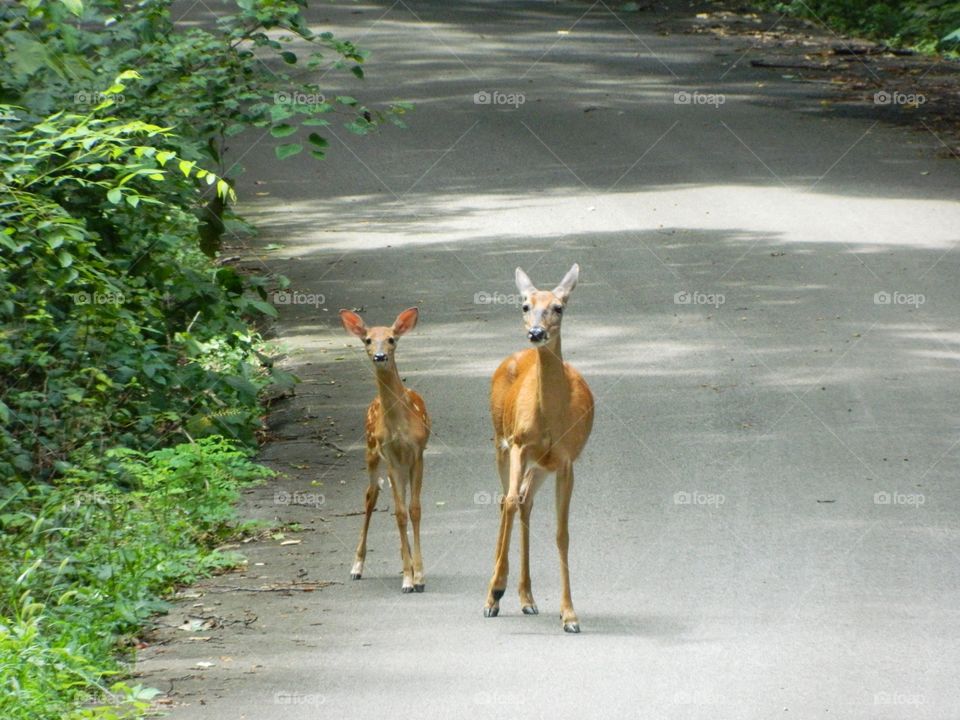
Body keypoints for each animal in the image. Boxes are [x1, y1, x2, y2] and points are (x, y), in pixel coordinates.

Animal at [339, 307, 430, 593]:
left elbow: (414, 509)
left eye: (392, 339)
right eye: (367, 340)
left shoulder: (417, 453)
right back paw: (357, 567)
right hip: (371, 451)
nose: (380, 356)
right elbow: (400, 513)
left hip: (401, 465)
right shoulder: (389, 455)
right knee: (371, 496)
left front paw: (418, 576)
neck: (400, 427)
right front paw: (408, 579)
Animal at [483, 264, 594, 633]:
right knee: (507, 500)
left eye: (558, 307)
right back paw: (497, 592)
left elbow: (562, 533)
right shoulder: (519, 444)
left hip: (542, 465)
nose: (535, 333)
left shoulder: (566, 460)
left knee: (525, 500)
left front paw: (570, 614)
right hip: (500, 443)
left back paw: (527, 597)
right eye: (525, 305)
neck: (549, 419)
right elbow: (508, 503)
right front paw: (494, 593)